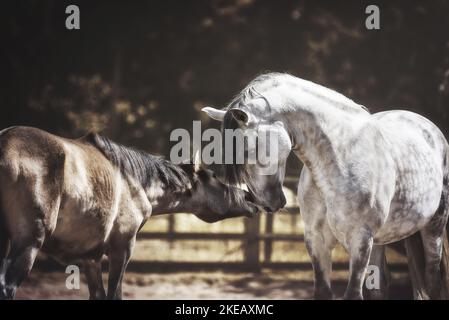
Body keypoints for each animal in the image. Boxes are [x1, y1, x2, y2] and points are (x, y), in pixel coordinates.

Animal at [0, 125, 256, 300]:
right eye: (213, 176)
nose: (249, 198)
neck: (135, 181)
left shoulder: (90, 258)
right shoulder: (122, 249)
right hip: (29, 242)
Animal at [203, 72, 448, 300]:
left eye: (247, 149)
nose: (267, 203)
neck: (338, 162)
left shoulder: (360, 240)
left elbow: (353, 294)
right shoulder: (317, 240)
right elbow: (322, 291)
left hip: (433, 228)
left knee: (434, 282)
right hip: (379, 241)